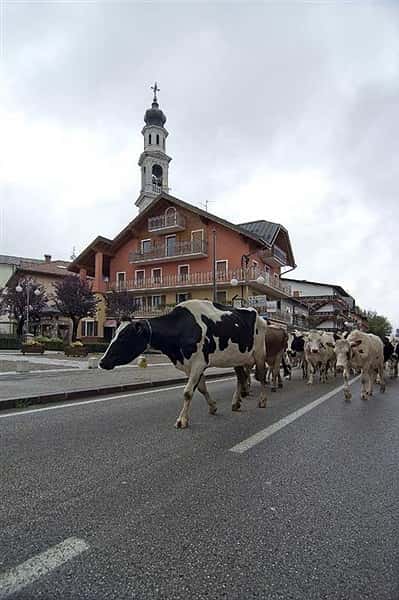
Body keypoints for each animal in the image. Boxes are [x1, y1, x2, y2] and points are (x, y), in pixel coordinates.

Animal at [99, 300, 268, 426]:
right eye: (114, 335)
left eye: (123, 338)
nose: (102, 362)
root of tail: (257, 314)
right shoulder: (189, 365)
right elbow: (201, 388)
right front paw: (213, 407)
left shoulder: (198, 363)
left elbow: (187, 392)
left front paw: (182, 420)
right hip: (238, 358)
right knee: (241, 378)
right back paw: (236, 403)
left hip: (259, 354)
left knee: (261, 375)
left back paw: (262, 401)